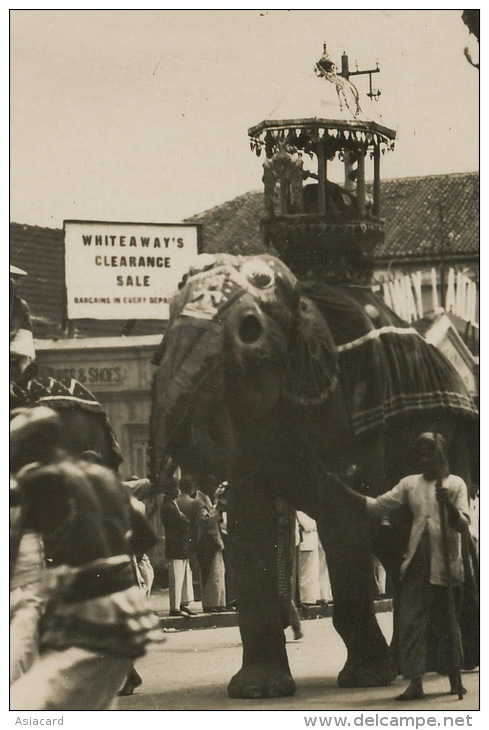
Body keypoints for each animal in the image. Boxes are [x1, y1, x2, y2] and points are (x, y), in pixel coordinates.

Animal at [150, 253, 476, 696]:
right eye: (166, 314)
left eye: (249, 329)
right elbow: (248, 522)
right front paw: (257, 691)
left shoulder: (349, 409)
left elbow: (341, 514)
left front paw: (364, 680)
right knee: (394, 540)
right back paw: (417, 665)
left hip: (451, 438)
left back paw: (450, 665)